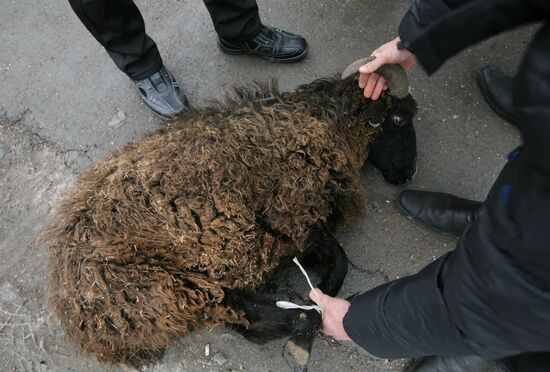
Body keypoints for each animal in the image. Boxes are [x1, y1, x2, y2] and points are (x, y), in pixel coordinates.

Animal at [44, 57, 418, 370]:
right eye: (399, 118)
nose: (408, 173)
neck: (317, 122)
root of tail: (74, 312)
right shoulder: (295, 221)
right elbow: (340, 262)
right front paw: (318, 314)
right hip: (173, 290)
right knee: (251, 321)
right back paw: (305, 327)